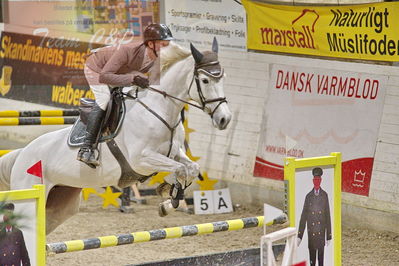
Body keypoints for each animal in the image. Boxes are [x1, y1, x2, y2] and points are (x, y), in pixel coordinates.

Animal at [0, 38, 233, 234]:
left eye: (222, 78)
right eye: (205, 80)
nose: (225, 119)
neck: (159, 109)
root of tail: (21, 153)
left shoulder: (174, 152)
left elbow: (190, 167)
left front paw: (169, 198)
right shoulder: (142, 159)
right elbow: (180, 169)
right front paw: (170, 197)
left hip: (61, 204)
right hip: (28, 197)